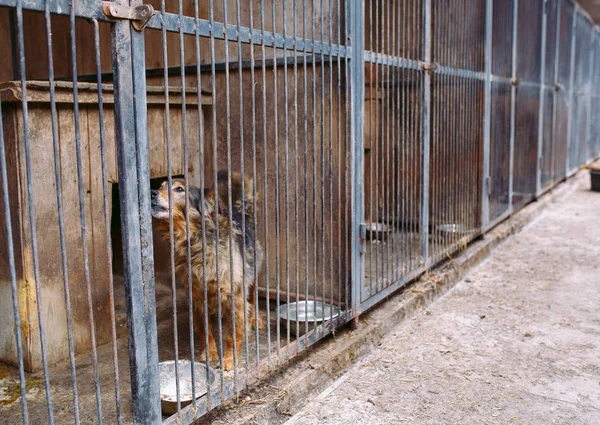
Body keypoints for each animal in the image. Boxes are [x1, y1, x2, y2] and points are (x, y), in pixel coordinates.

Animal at [151, 171, 264, 370]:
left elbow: (232, 334)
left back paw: (254, 319)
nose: (152, 193)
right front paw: (210, 352)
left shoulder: (235, 296)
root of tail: (237, 209)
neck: (197, 242)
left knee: (253, 297)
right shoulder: (197, 296)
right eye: (161, 186)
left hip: (252, 272)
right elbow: (206, 330)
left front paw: (229, 359)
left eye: (179, 189)